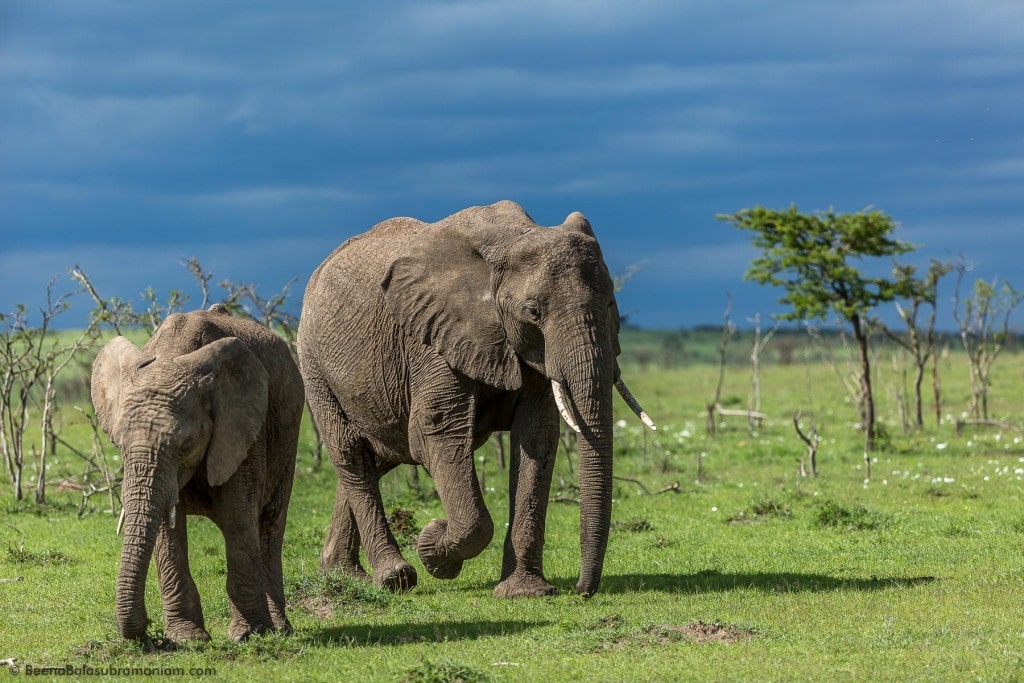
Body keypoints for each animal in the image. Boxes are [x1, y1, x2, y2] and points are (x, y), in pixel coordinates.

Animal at [92, 305, 303, 647]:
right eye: (119, 444)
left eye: (186, 445)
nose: (147, 633)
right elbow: (167, 526)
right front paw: (188, 639)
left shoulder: (242, 426)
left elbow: (237, 514)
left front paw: (248, 634)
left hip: (288, 430)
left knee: (269, 525)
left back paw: (281, 629)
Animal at [296, 198, 651, 598]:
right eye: (533, 311)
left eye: (611, 304)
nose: (582, 590)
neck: (511, 239)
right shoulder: (432, 337)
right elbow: (434, 432)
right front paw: (434, 550)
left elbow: (537, 435)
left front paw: (525, 593)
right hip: (313, 361)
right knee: (350, 451)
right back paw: (394, 578)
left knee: (378, 455)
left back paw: (342, 574)